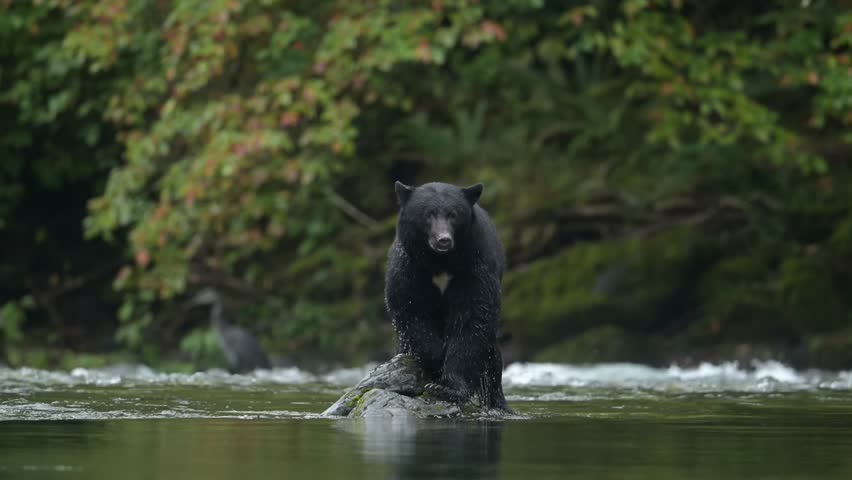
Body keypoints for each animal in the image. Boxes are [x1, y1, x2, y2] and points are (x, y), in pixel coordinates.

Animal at [385, 181, 509, 411]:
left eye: (453, 214)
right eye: (428, 214)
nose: (443, 240)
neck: (440, 262)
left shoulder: (475, 266)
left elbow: (473, 317)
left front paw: (447, 388)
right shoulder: (409, 268)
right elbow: (411, 309)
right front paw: (436, 358)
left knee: (493, 364)